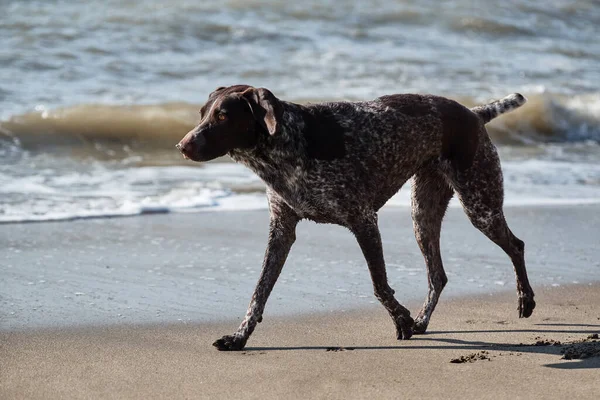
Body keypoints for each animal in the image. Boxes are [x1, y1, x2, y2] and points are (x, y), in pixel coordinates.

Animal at [176, 84, 536, 350]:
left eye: (223, 116)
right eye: (202, 114)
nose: (181, 146)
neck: (288, 147)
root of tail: (473, 113)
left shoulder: (363, 221)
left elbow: (379, 285)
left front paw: (401, 320)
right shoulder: (281, 231)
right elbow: (259, 292)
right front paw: (239, 336)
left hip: (480, 206)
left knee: (516, 246)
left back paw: (526, 299)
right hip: (423, 215)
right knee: (438, 276)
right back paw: (422, 321)